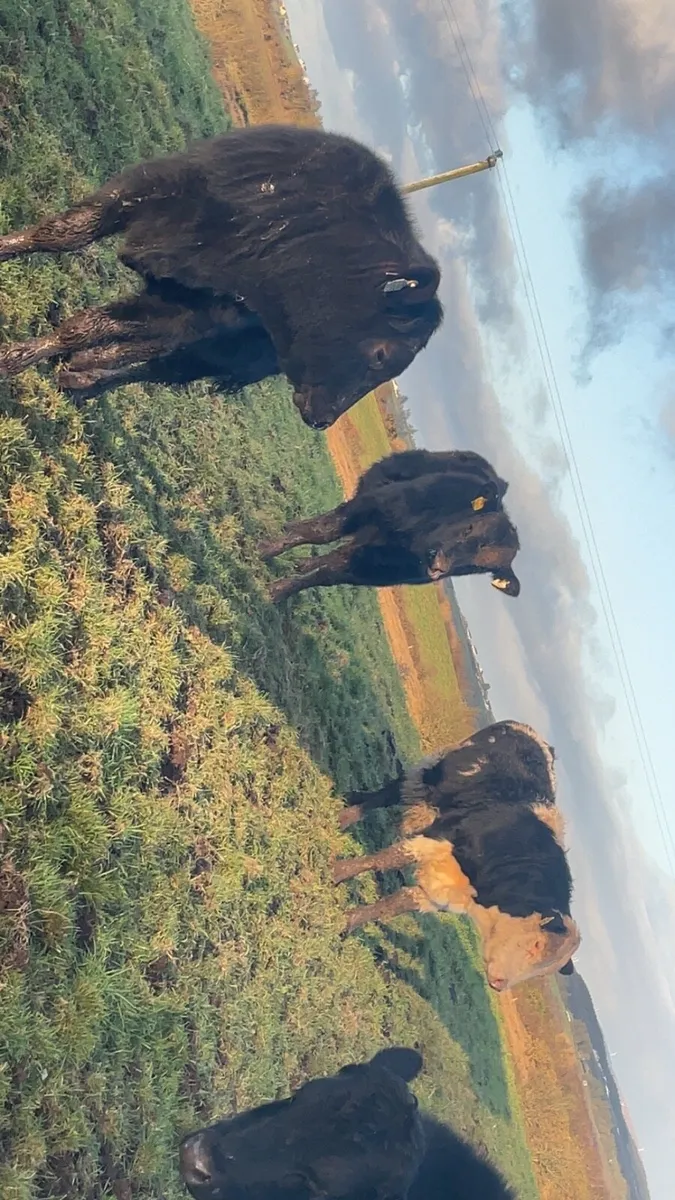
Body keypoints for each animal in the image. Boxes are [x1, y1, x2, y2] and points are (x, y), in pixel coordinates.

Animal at [0, 125, 443, 428]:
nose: (323, 419)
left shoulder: (197, 314)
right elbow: (62, 236)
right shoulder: (146, 191)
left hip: (216, 355)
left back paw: (82, 378)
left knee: (154, 365)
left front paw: (14, 360)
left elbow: (89, 329)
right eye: (380, 354)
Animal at [333, 723, 580, 989]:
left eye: (544, 972)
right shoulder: (441, 837)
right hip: (428, 777)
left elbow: (393, 905)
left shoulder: (438, 896)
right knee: (389, 794)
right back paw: (344, 816)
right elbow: (385, 859)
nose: (499, 984)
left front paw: (346, 922)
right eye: (536, 944)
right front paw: (334, 872)